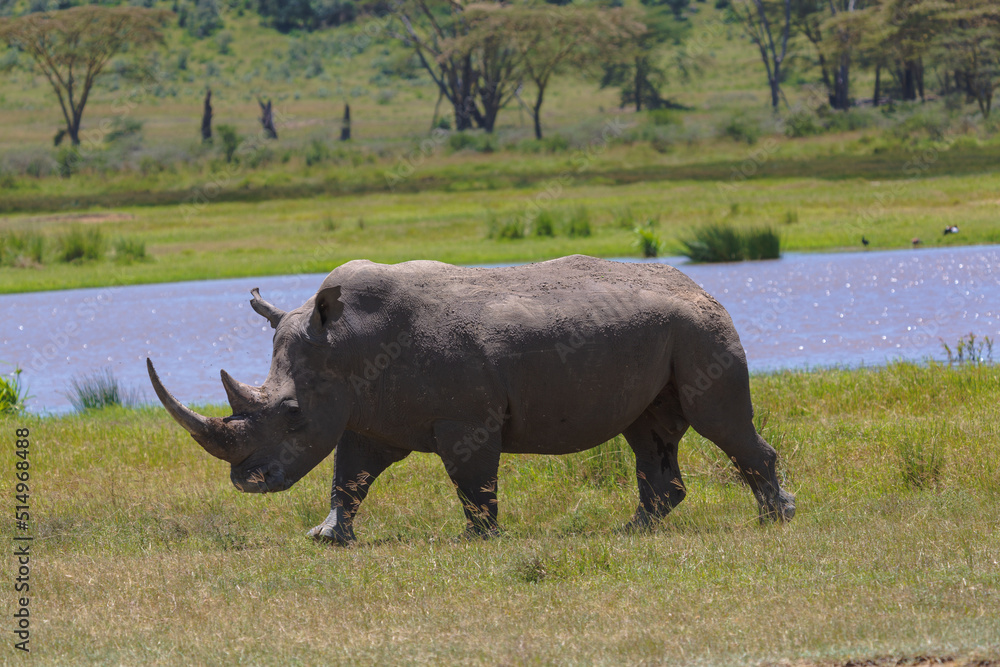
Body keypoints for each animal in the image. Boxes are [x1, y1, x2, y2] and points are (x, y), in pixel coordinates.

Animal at [147, 255, 794, 542]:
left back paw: (774, 519)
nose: (246, 483)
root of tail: (703, 286)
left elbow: (471, 478)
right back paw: (631, 531)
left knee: (719, 422)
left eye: (292, 415)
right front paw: (328, 536)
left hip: (700, 329)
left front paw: (479, 539)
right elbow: (348, 477)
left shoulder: (467, 419)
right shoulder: (364, 415)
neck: (346, 346)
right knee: (647, 432)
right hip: (665, 333)